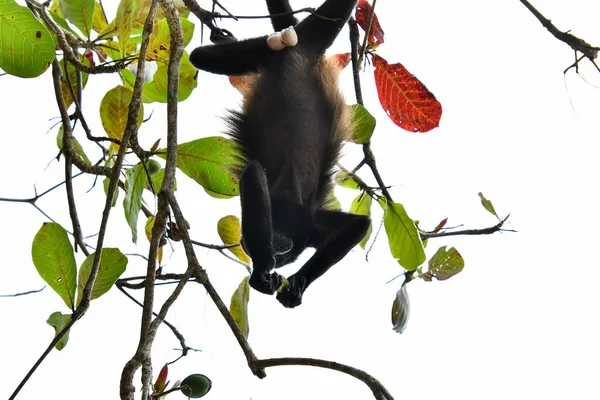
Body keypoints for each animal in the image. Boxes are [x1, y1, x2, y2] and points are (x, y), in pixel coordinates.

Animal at [192, 0, 370, 308]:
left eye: (286, 255)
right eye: (279, 250)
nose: (276, 253)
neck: (290, 216)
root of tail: (304, 47)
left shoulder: (313, 222)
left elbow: (359, 225)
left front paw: (298, 283)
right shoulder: (295, 210)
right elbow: (253, 172)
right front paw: (262, 273)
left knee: (203, 56)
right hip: (271, 51)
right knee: (199, 56)